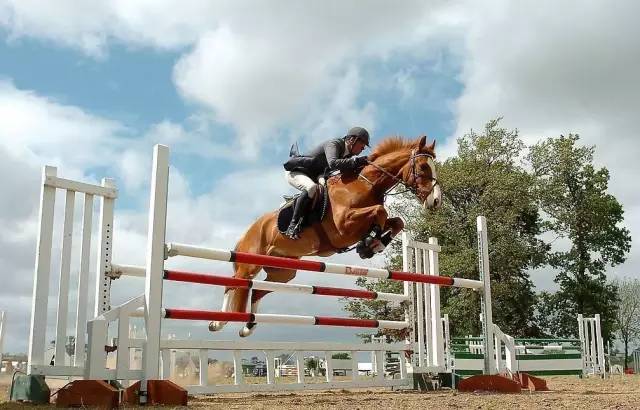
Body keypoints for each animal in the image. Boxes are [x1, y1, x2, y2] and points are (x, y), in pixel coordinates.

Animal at [209, 135, 441, 336]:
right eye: (423, 167)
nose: (436, 201)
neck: (366, 184)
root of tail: (248, 231)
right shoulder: (343, 226)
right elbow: (380, 212)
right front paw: (367, 243)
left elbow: (397, 221)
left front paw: (373, 244)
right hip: (250, 263)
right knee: (234, 282)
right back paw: (218, 323)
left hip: (283, 272)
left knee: (257, 289)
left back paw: (247, 327)